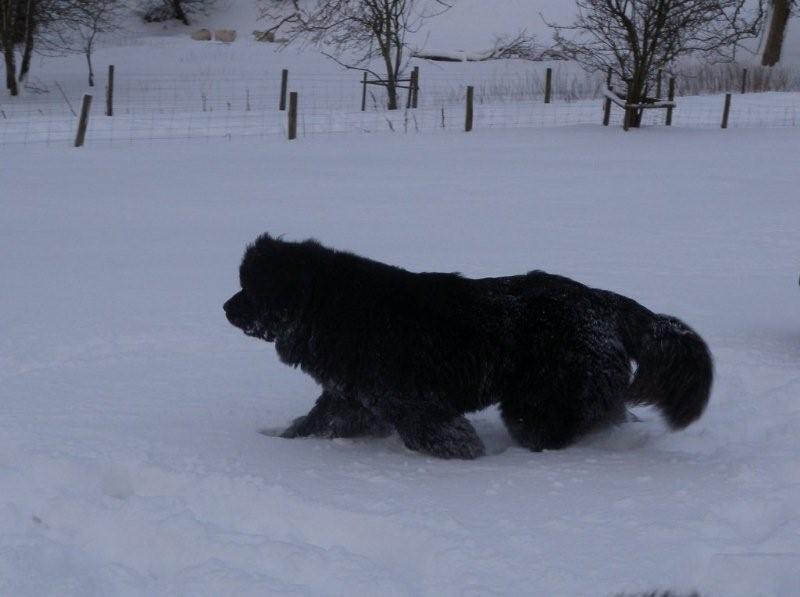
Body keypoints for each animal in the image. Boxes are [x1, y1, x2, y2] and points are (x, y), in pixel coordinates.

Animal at [223, 235, 712, 458]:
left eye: (250, 288)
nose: (225, 307)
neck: (330, 307)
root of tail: (603, 301)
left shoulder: (415, 403)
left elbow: (441, 435)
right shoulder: (350, 398)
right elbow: (315, 422)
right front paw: (280, 441)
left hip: (541, 400)